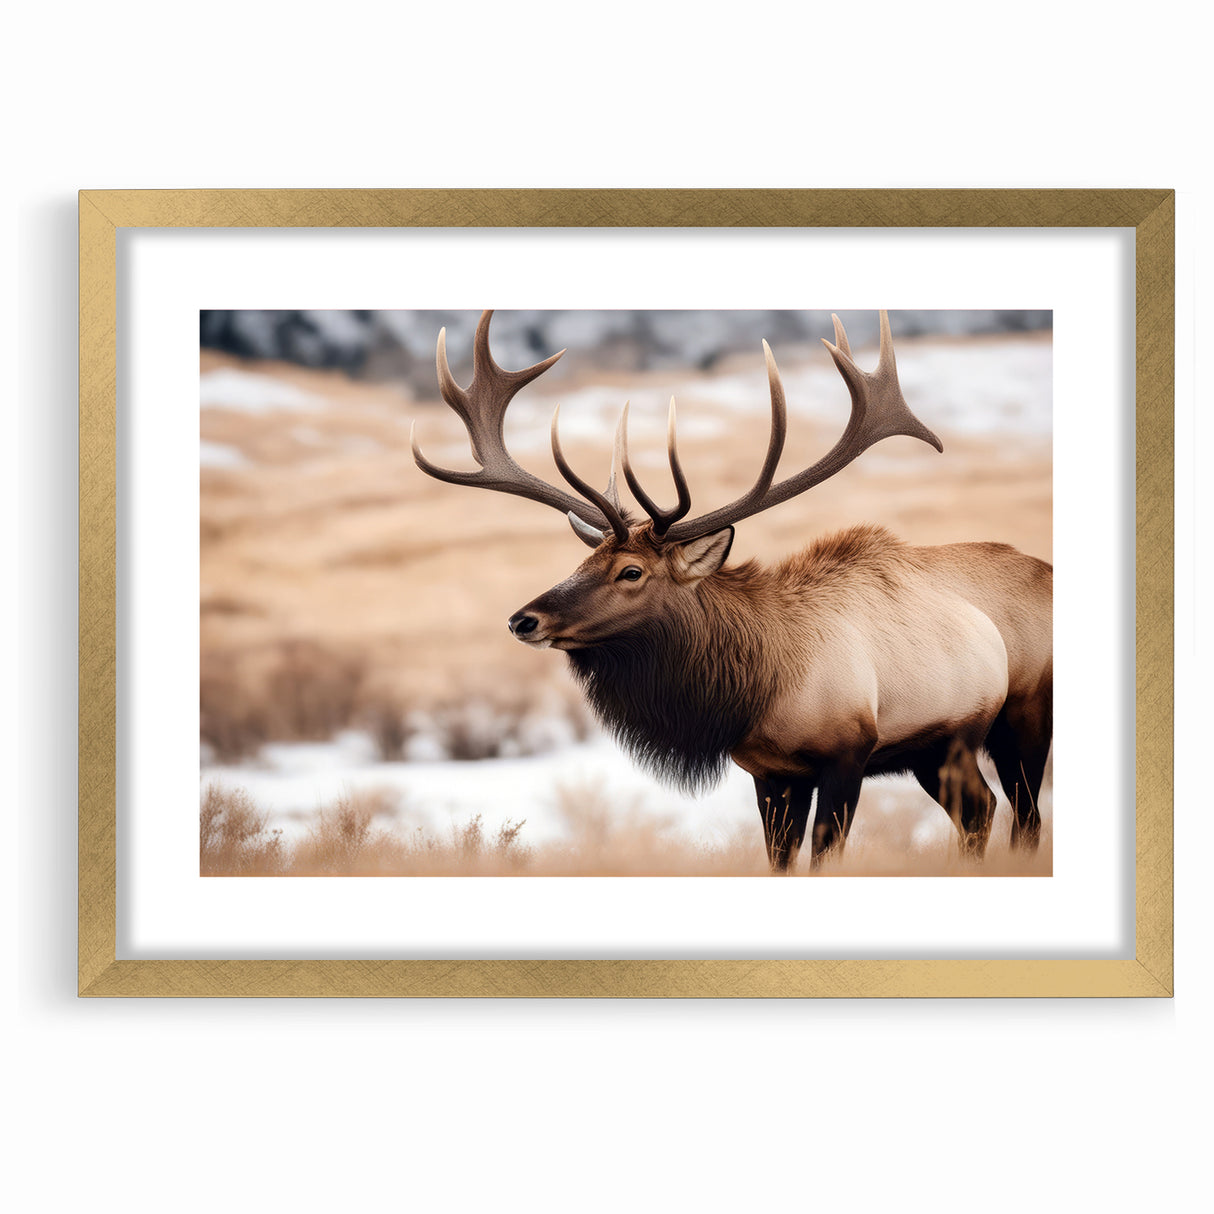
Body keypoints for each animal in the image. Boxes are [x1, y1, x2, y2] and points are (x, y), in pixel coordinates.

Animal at [412, 311, 1052, 871]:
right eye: (585, 558)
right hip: (937, 749)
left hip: (1018, 716)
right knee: (982, 814)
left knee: (1023, 814)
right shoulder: (771, 772)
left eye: (631, 572)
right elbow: (779, 862)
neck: (758, 691)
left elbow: (825, 856)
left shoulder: (849, 751)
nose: (524, 619)